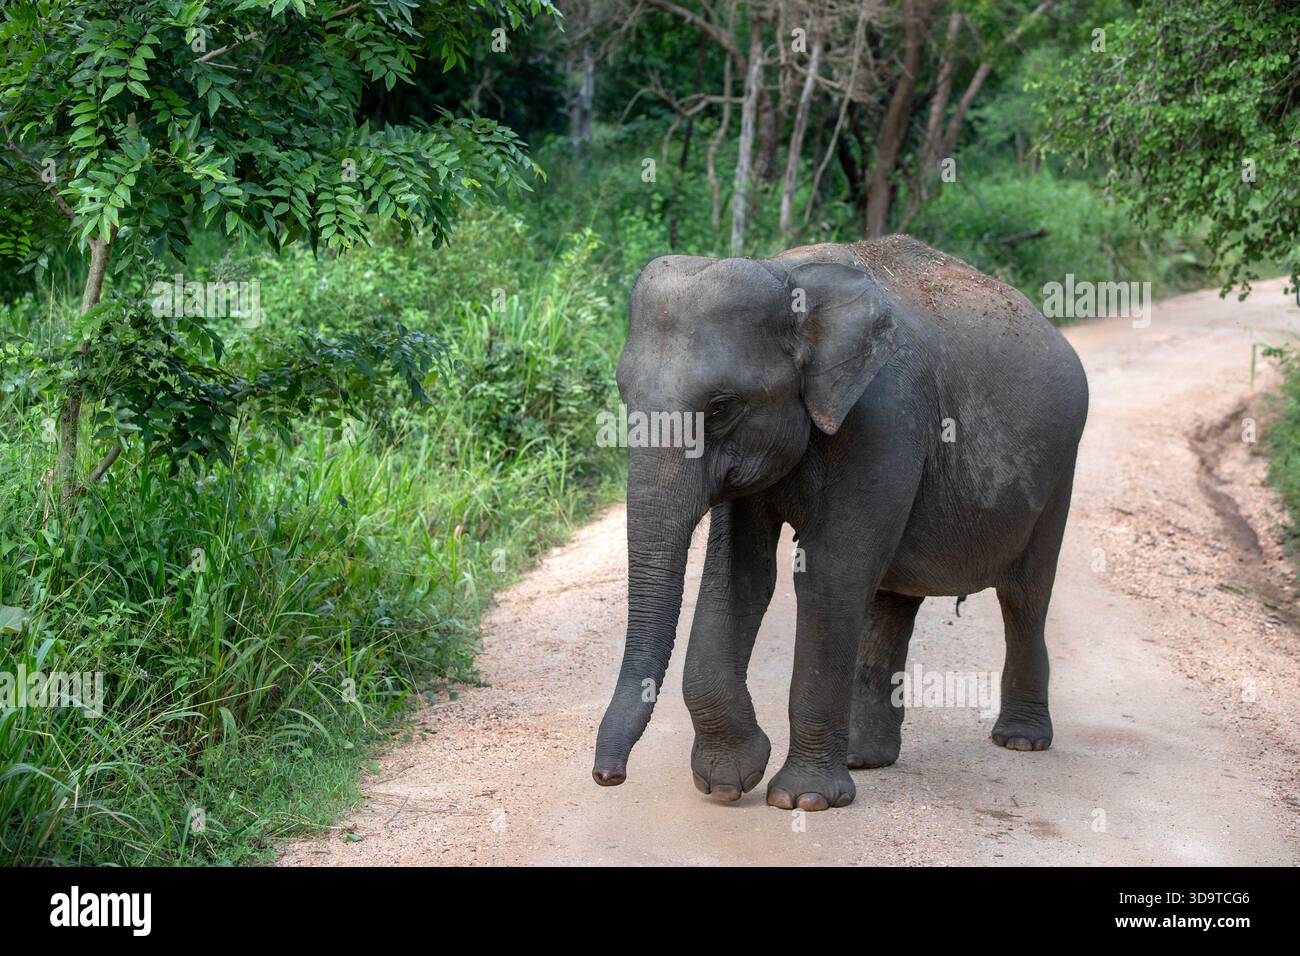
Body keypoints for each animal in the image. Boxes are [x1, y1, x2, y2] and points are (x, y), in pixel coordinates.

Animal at [591, 235, 1089, 811]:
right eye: (623, 395)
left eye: (720, 407)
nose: (608, 776)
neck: (790, 277)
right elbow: (741, 577)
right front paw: (727, 782)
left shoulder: (886, 417)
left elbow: (830, 574)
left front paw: (802, 801)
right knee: (893, 600)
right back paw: (863, 757)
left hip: (1060, 470)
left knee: (1025, 596)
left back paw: (1021, 741)